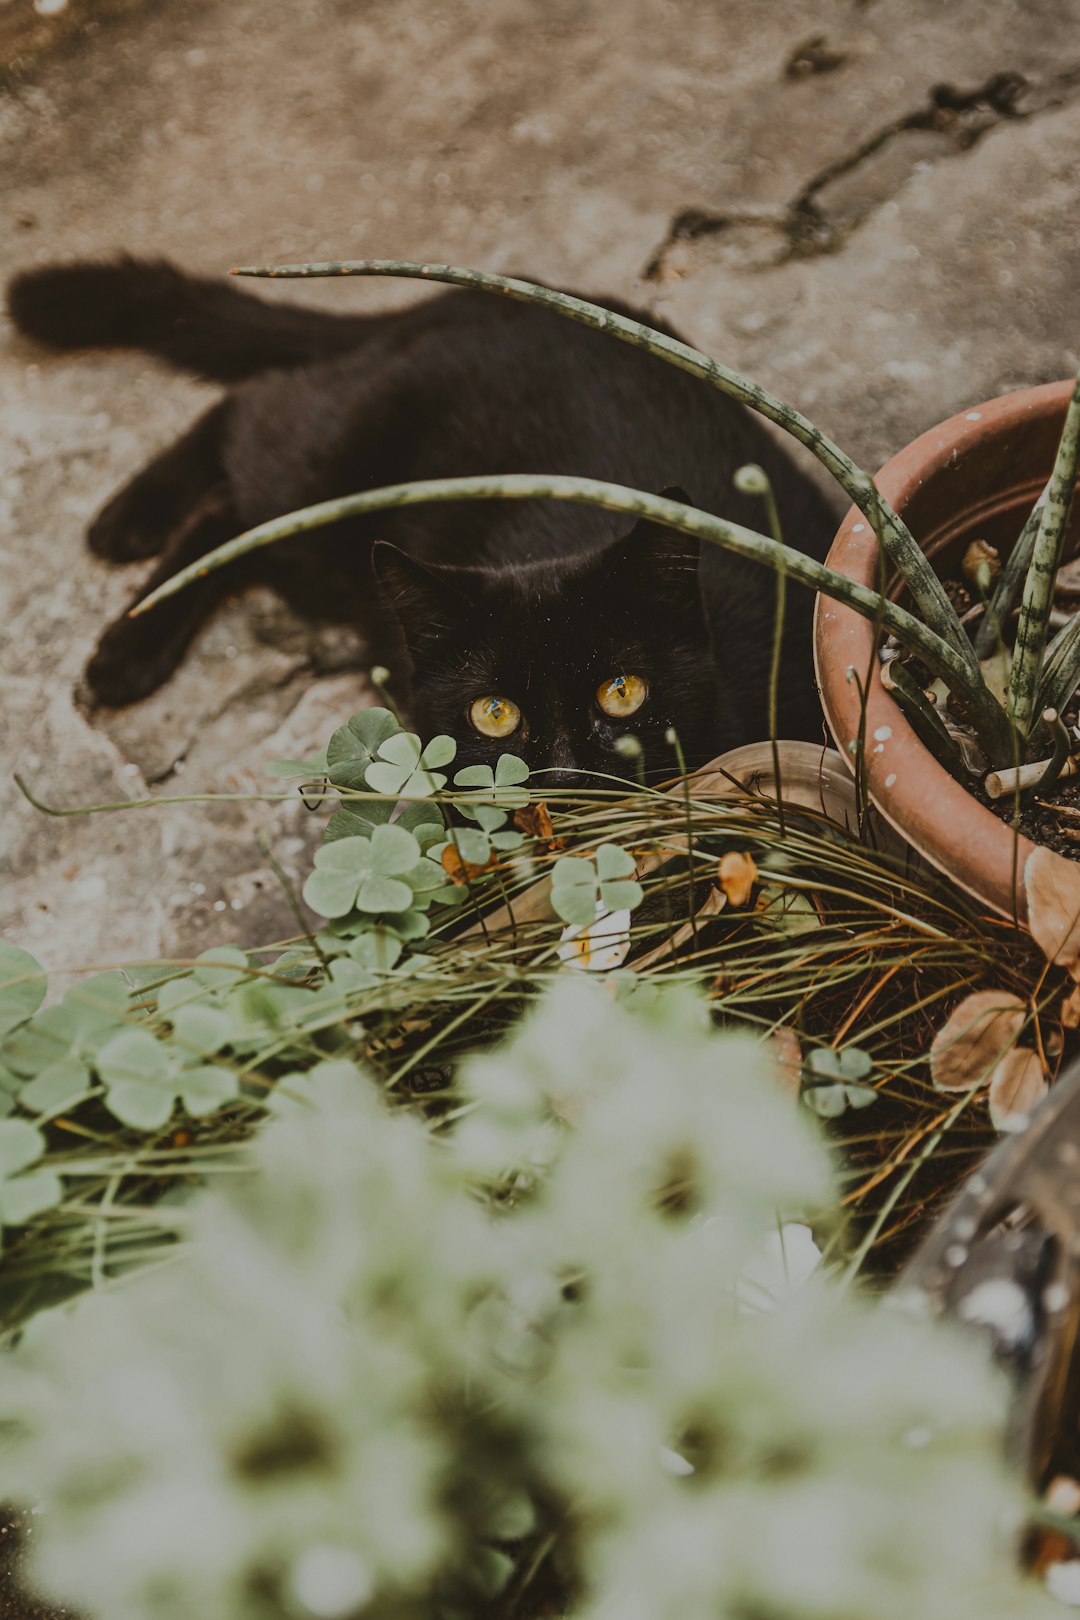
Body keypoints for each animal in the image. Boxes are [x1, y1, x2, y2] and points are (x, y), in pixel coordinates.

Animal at [4, 255, 841, 780]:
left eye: (623, 694)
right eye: (493, 715)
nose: (564, 772)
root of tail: (464, 295)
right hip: (330, 484)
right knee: (252, 412)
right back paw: (128, 591)